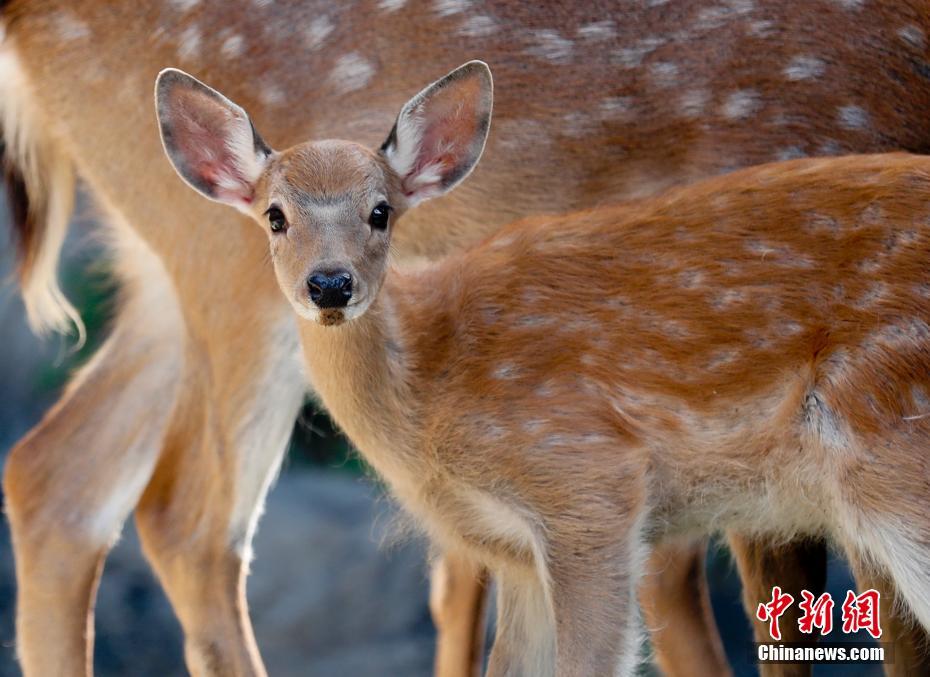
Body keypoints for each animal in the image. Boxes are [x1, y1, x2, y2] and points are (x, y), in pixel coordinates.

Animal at [5, 0, 928, 672]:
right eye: (275, 215)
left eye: (383, 211)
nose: (330, 283)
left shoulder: (583, 504)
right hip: (214, 278)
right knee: (184, 519)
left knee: (59, 479)